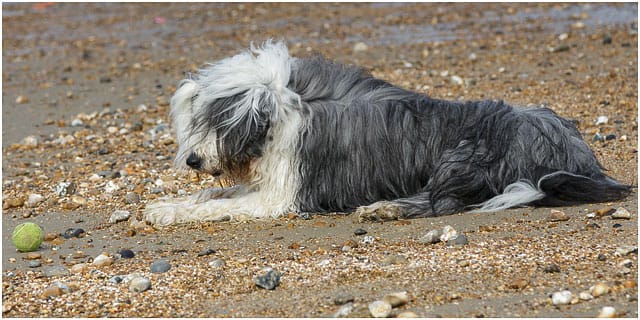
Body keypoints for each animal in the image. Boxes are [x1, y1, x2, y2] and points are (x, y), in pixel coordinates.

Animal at [144, 40, 632, 225]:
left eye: (218, 123)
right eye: (197, 121)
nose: (193, 160)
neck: (280, 110)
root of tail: (578, 154)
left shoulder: (281, 195)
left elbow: (225, 204)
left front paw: (171, 212)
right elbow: (213, 194)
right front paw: (169, 204)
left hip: (466, 157)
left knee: (443, 203)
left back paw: (384, 209)